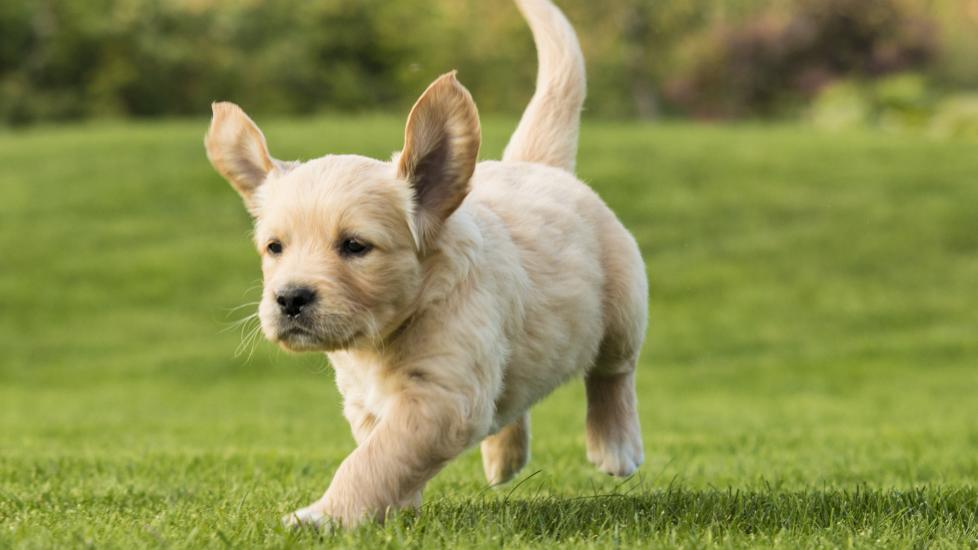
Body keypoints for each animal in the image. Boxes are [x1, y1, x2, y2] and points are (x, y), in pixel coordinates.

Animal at [205, 0, 644, 532]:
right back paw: (504, 457)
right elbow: (382, 453)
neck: (383, 337)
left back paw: (615, 446)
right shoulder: (366, 400)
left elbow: (375, 459)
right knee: (514, 393)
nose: (289, 298)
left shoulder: (441, 396)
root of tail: (539, 165)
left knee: (613, 373)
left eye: (355, 246)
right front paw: (394, 509)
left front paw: (324, 516)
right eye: (274, 248)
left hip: (623, 305)